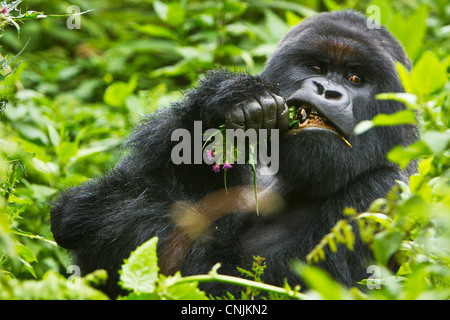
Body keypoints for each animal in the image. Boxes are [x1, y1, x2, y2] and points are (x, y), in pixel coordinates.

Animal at [51, 10, 418, 300]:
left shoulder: (383, 191)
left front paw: (117, 217)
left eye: (356, 78)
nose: (326, 90)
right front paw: (228, 98)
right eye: (316, 67)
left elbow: (229, 284)